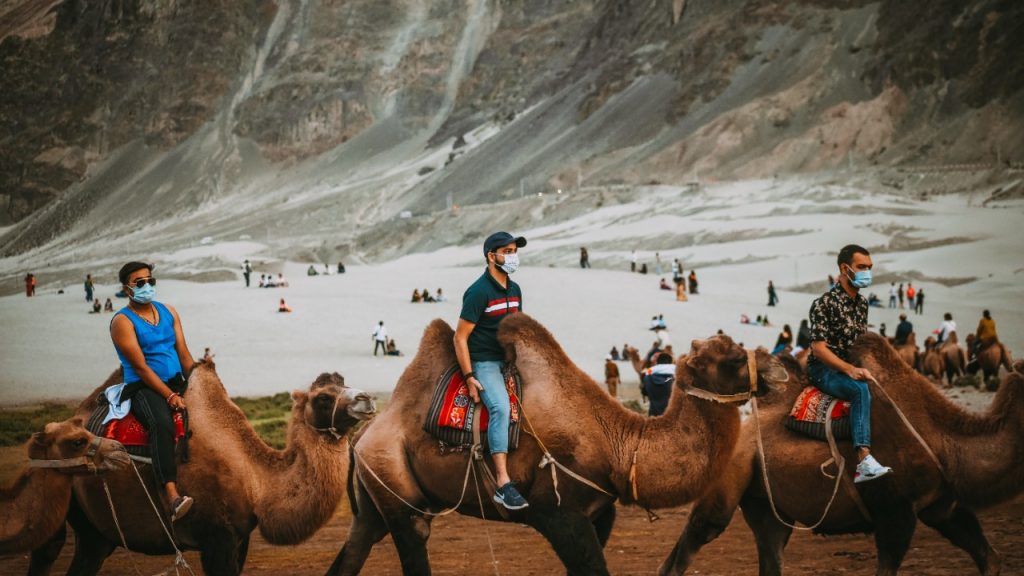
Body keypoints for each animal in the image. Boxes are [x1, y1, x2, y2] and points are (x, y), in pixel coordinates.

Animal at [29, 360, 378, 573]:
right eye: (323, 398)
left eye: (344, 382)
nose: (368, 398)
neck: (257, 480)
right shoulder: (216, 538)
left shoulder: (240, 538)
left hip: (97, 531)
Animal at [325, 313, 782, 573]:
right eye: (735, 358)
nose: (779, 369)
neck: (619, 446)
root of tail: (364, 435)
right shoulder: (558, 513)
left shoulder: (601, 513)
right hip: (395, 487)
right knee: (412, 538)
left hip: (373, 502)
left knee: (351, 552)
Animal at [655, 332, 1024, 573]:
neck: (944, 441)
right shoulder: (894, 511)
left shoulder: (941, 506)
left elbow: (989, 558)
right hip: (729, 479)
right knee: (694, 539)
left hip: (767, 505)